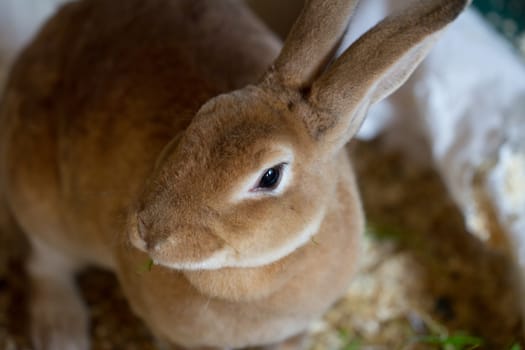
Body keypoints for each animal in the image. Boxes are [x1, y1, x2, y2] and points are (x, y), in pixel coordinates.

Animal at [0, 0, 466, 348]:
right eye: (200, 117)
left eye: (270, 176)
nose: (147, 233)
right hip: (41, 204)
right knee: (46, 264)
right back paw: (61, 335)